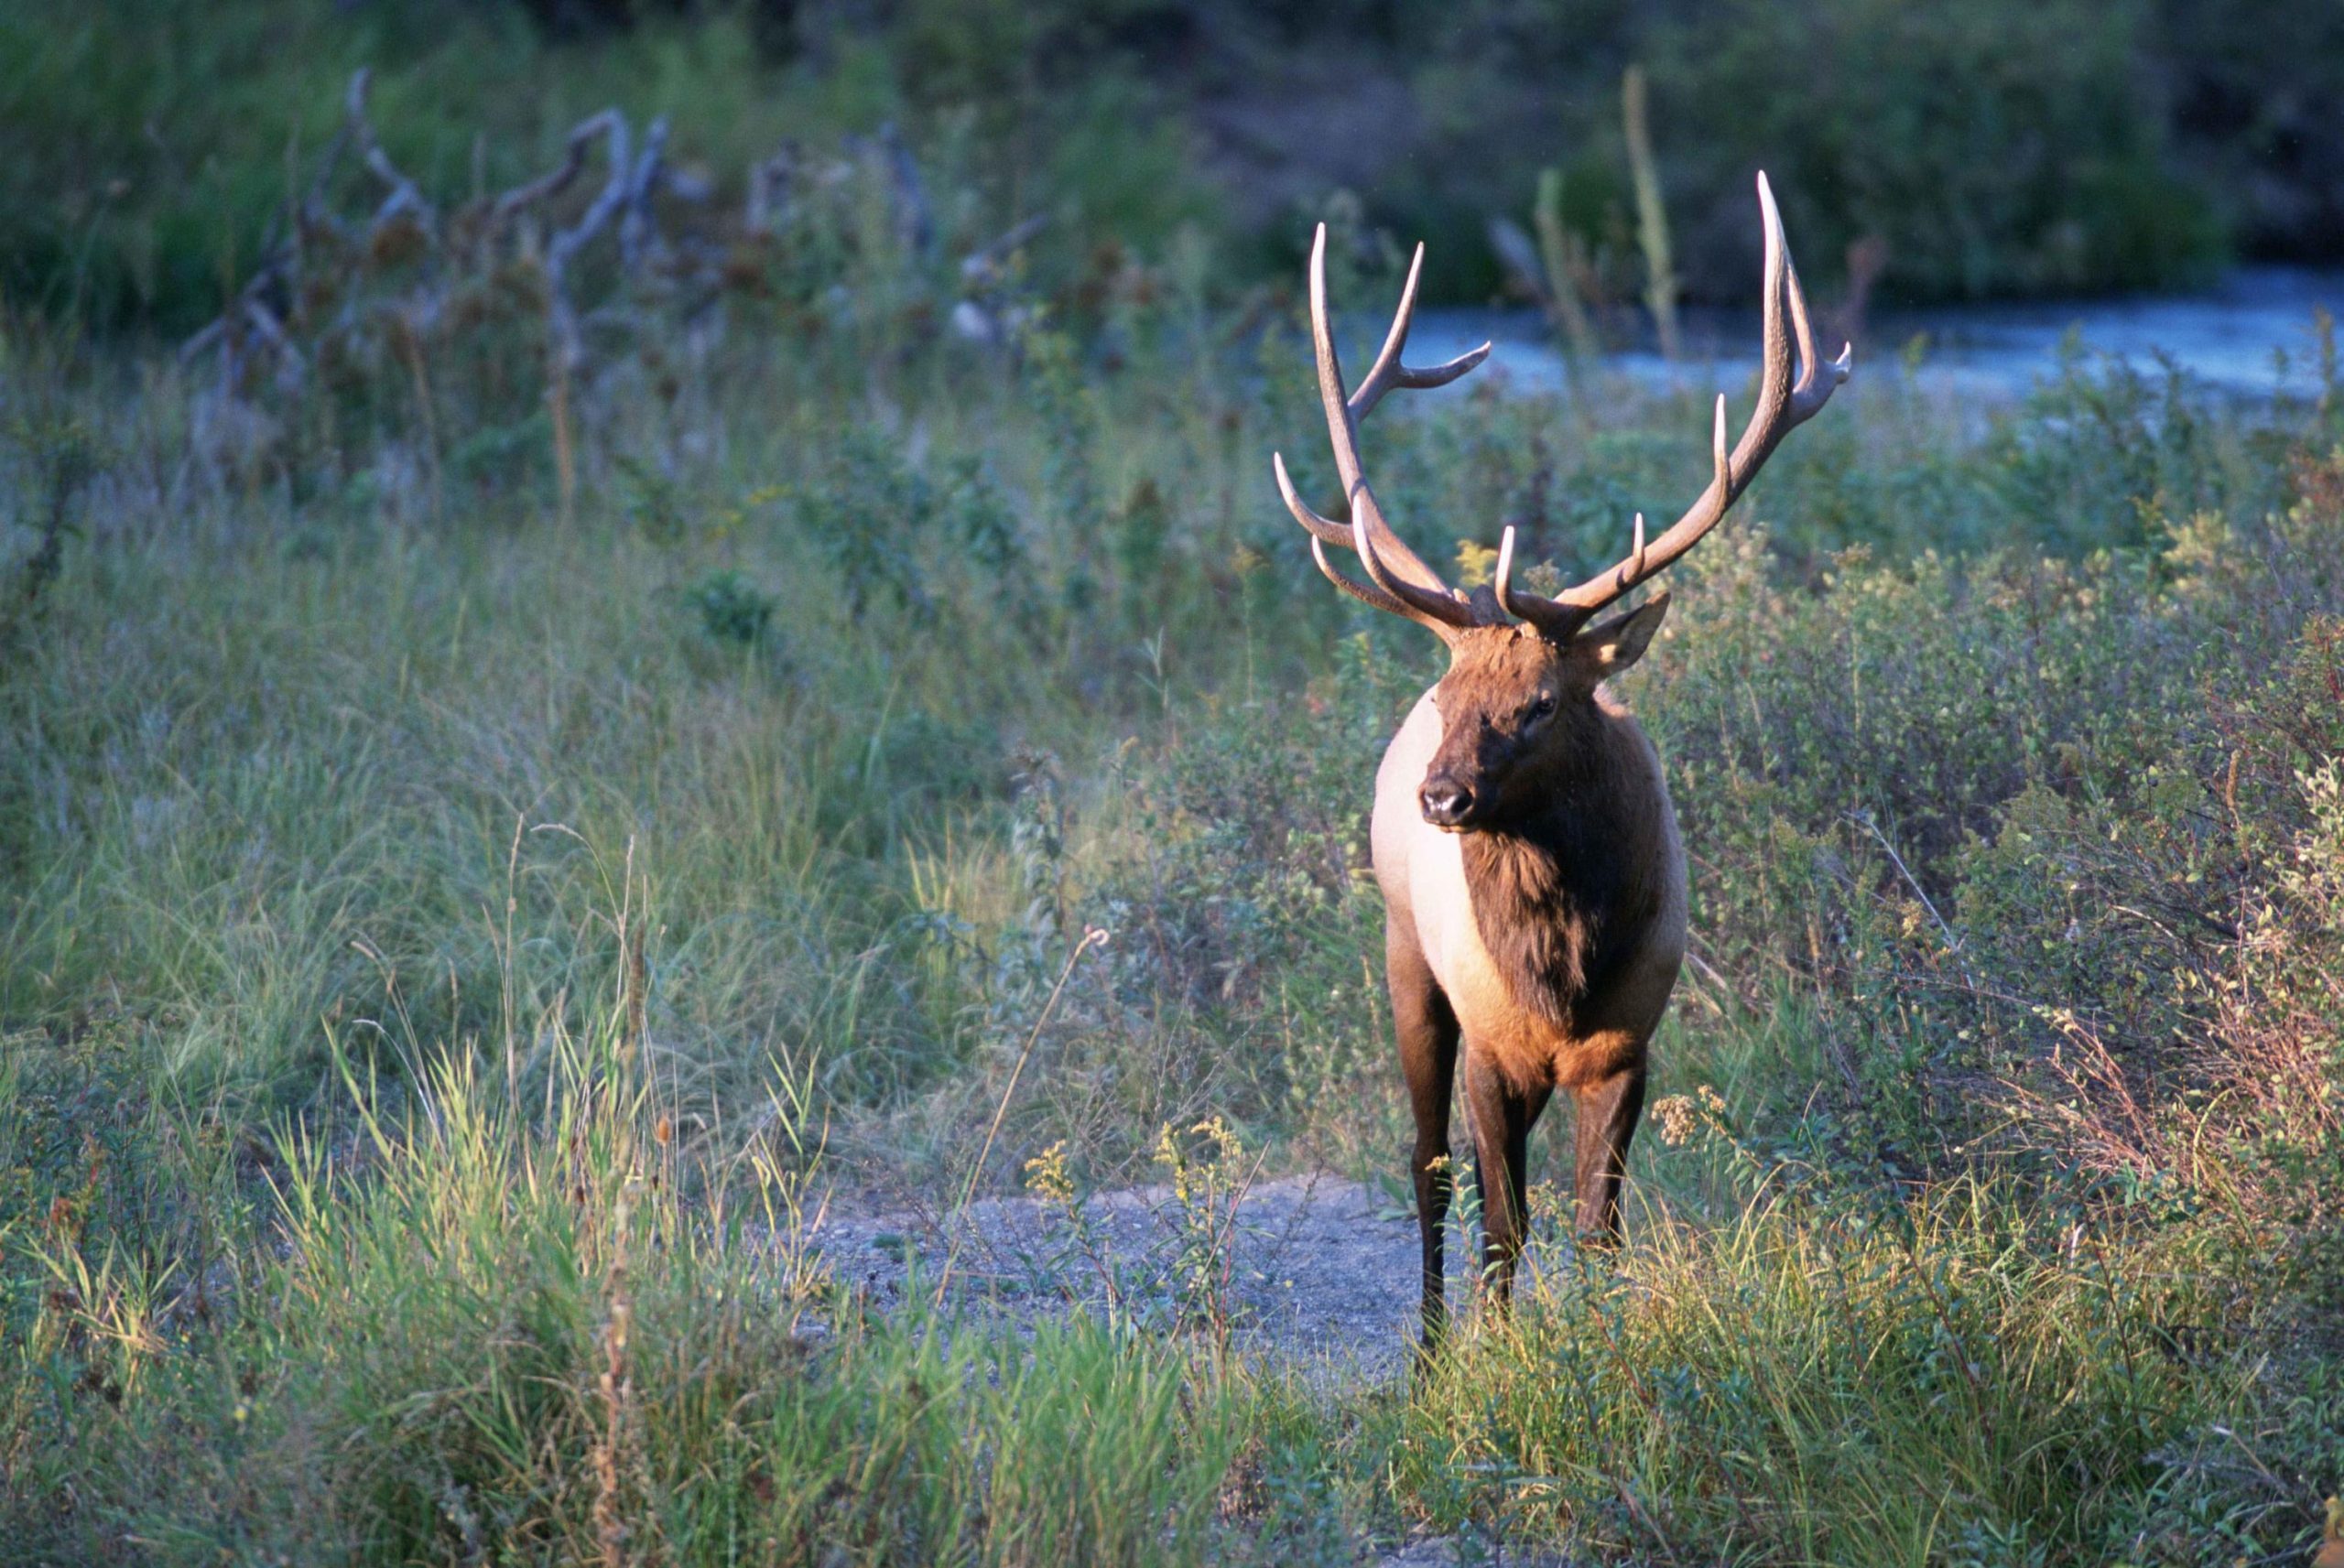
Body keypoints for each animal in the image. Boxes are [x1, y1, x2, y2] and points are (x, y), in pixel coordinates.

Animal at [1271, 174, 1850, 1349]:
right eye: (1450, 699)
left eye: (1540, 703)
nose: (1441, 795)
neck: (1562, 967)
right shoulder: (1493, 1044)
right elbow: (1502, 1223)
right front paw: (1492, 1361)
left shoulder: (1628, 1042)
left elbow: (1597, 1228)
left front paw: (1598, 1345)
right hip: (1403, 953)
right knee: (1426, 1164)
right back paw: (1430, 1346)